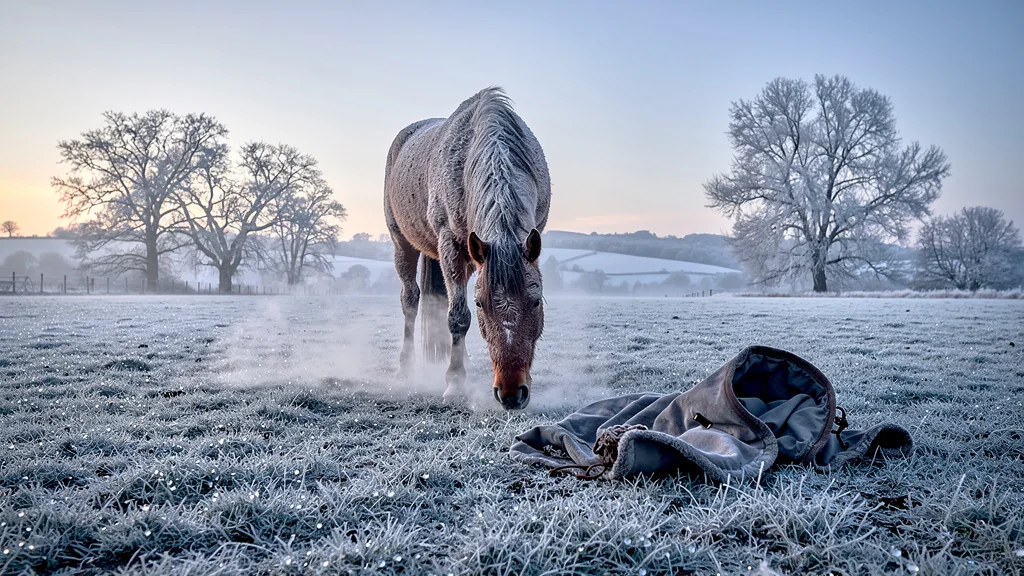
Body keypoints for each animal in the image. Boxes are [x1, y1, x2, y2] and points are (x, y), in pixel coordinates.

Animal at [383, 87, 551, 410]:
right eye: (480, 304)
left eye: (536, 302)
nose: (511, 393)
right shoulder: (450, 244)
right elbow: (458, 317)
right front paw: (454, 384)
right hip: (402, 243)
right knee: (410, 299)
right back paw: (406, 368)